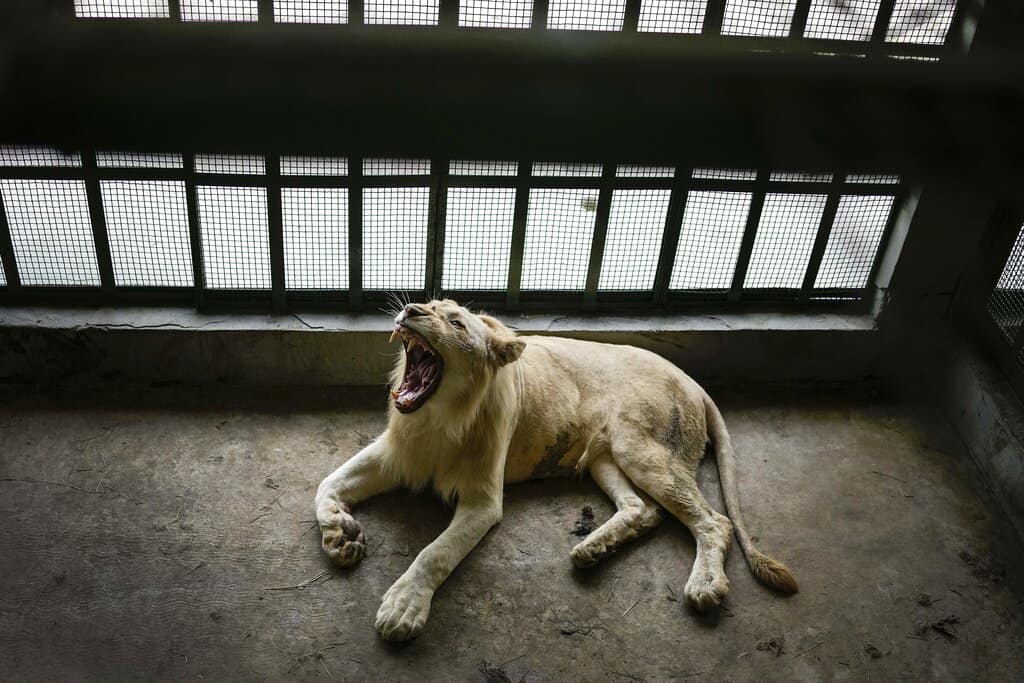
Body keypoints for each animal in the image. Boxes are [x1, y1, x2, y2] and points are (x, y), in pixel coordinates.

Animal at [315, 299, 794, 643]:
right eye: (428, 304)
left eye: (455, 323)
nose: (411, 310)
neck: (440, 418)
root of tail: (694, 383)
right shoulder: (396, 454)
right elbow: (325, 484)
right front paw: (340, 535)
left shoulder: (483, 501)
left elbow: (435, 553)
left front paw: (402, 608)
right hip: (606, 458)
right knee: (642, 509)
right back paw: (593, 549)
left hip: (640, 449)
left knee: (714, 521)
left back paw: (705, 585)